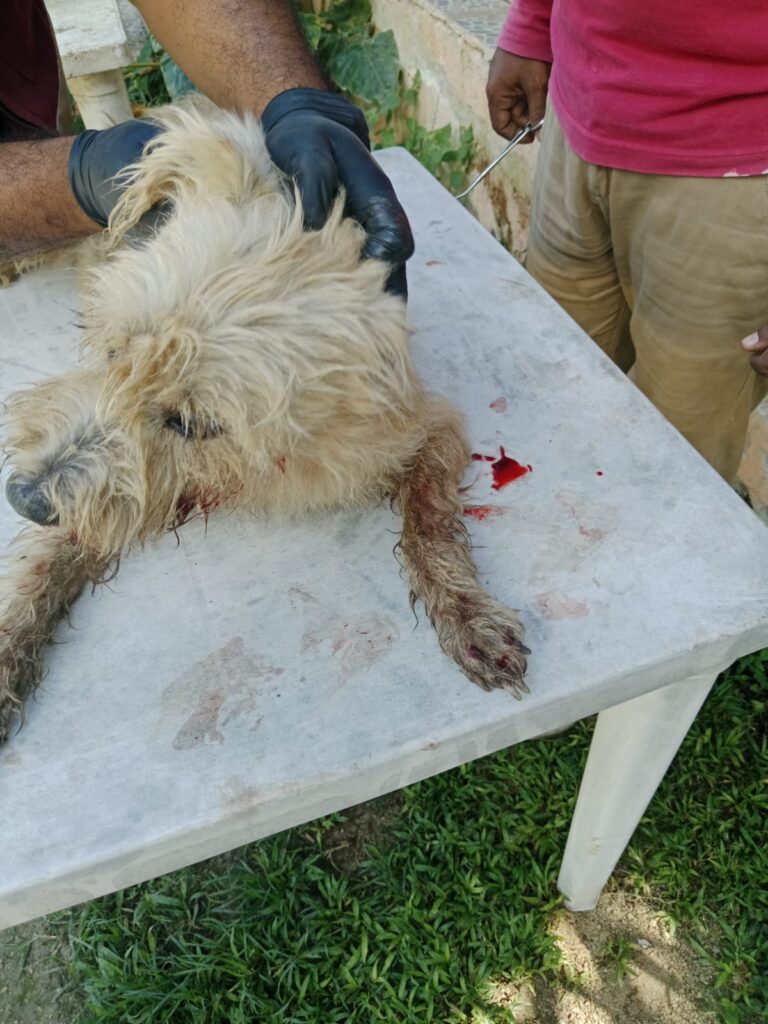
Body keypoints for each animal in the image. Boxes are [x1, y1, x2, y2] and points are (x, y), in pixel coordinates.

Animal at [0, 98, 528, 743]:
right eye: (112, 350)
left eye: (192, 424)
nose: (23, 498)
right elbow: (45, 560)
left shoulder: (424, 425)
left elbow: (429, 521)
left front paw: (466, 612)